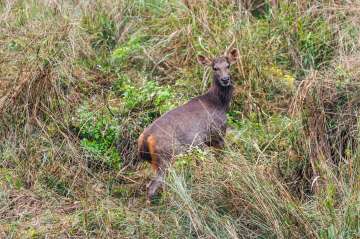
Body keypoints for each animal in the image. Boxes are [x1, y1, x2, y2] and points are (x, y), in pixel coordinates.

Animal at [136, 49, 238, 204]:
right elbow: (221, 159)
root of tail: (145, 139)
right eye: (215, 68)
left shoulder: (204, 143)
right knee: (152, 186)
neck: (220, 104)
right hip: (166, 157)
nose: (225, 79)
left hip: (156, 162)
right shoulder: (218, 133)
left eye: (228, 65)